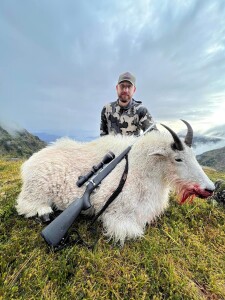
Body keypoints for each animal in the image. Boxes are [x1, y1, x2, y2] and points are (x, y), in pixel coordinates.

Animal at [15, 119, 214, 244]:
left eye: (193, 155)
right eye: (178, 159)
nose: (209, 188)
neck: (140, 168)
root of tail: (28, 165)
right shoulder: (117, 213)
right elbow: (132, 231)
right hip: (37, 190)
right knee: (25, 204)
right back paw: (45, 213)